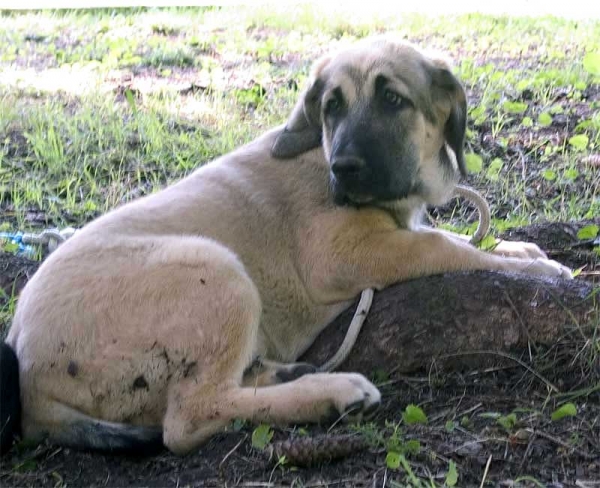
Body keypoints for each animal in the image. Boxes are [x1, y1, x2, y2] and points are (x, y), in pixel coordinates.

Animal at [1, 37, 572, 454]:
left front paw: (518, 251)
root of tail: (28, 376)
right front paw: (538, 272)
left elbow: (446, 235)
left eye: (393, 99)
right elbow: (442, 247)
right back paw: (331, 393)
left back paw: (289, 372)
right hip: (216, 269)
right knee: (188, 418)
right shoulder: (345, 254)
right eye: (331, 106)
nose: (345, 168)